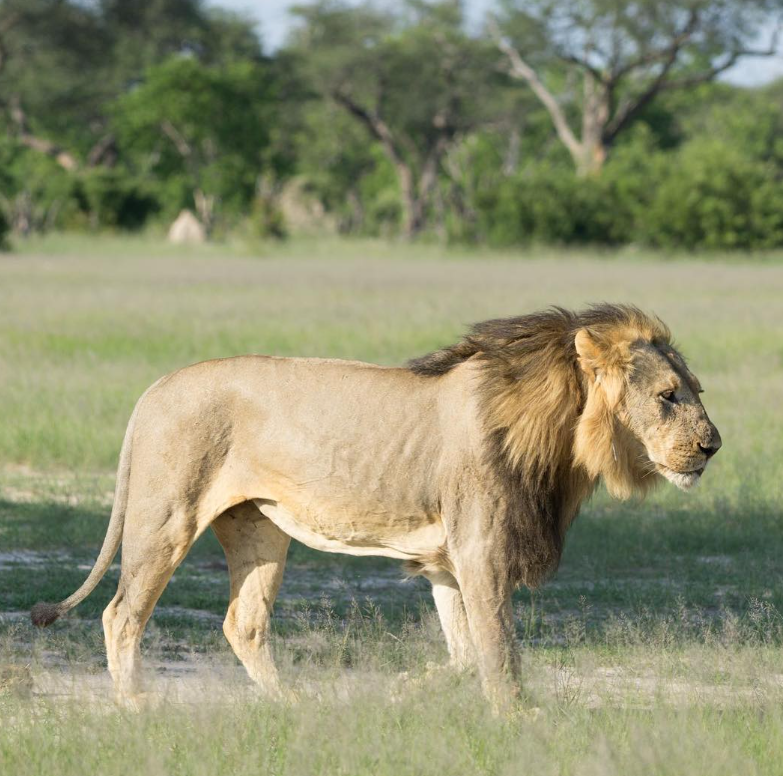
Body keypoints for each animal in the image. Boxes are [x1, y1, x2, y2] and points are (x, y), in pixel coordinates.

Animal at [32, 304, 724, 708]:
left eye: (695, 389)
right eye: (668, 396)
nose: (712, 445)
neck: (560, 436)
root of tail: (154, 387)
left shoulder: (448, 562)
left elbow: (465, 655)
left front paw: (400, 690)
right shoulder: (482, 552)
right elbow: (501, 655)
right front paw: (519, 723)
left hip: (259, 529)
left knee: (243, 624)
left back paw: (294, 710)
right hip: (167, 517)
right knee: (122, 615)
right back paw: (137, 709)